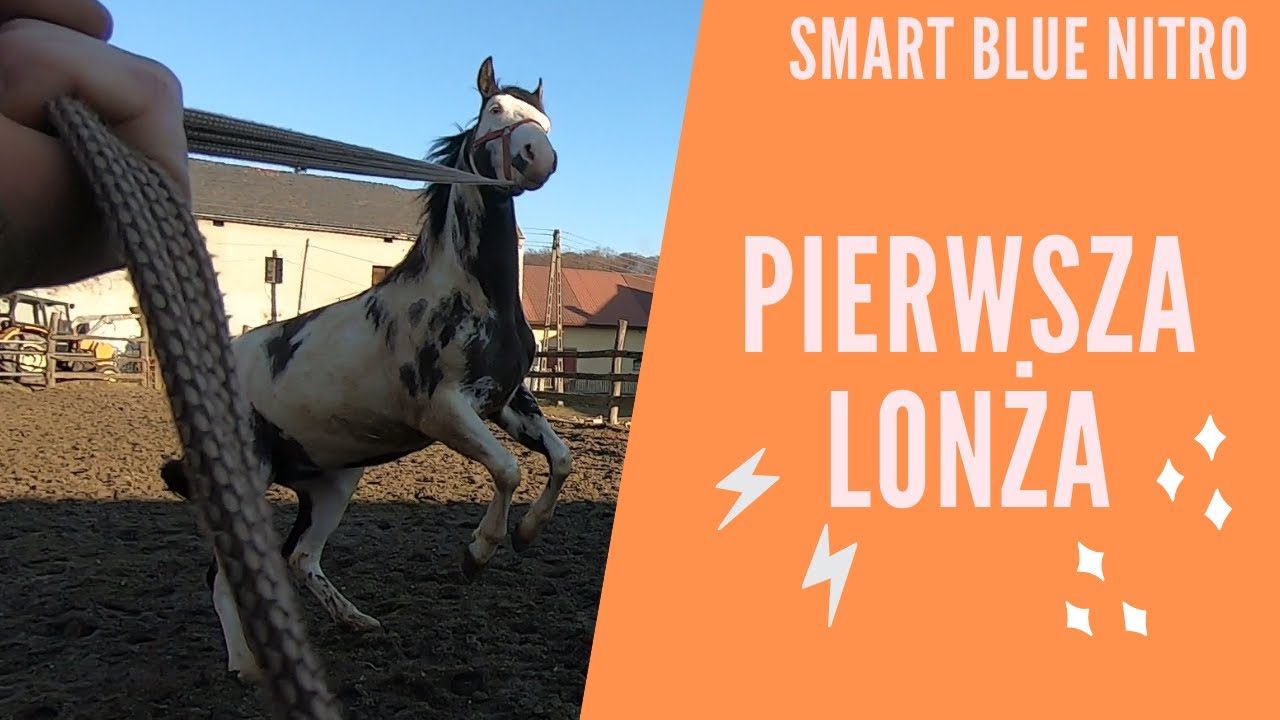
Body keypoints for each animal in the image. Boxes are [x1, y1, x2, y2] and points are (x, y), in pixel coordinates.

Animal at [159, 55, 573, 678]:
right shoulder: (443, 413)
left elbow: (560, 459)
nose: (537, 157)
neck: (471, 293)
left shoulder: (507, 401)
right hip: (247, 478)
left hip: (332, 482)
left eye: (545, 121)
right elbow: (507, 470)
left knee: (301, 558)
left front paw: (526, 532)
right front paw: (476, 553)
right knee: (225, 574)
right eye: (496, 109)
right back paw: (246, 664)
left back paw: (356, 622)